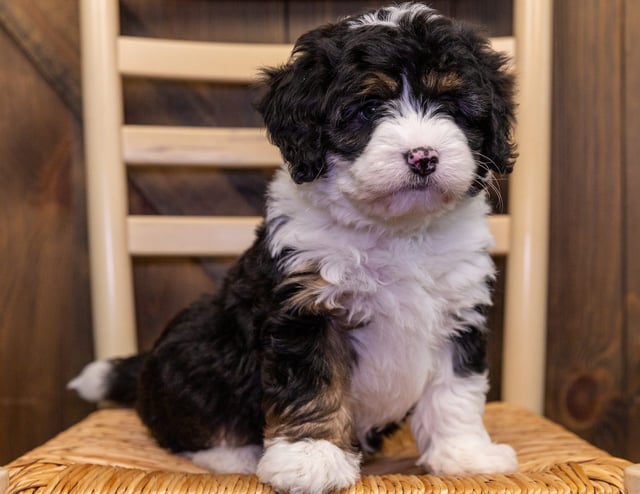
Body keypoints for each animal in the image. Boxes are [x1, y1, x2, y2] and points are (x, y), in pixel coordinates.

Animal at [70, 4, 520, 494]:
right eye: (367, 109)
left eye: (453, 107)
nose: (424, 157)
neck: (396, 231)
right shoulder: (305, 306)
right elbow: (313, 384)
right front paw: (312, 458)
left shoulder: (460, 308)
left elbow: (456, 391)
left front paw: (464, 454)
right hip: (195, 343)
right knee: (186, 424)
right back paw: (235, 456)